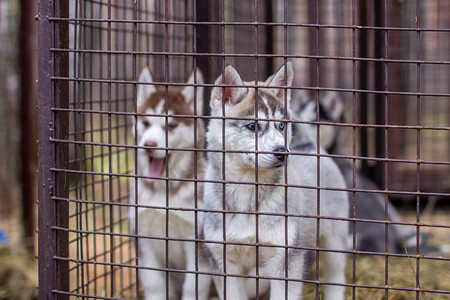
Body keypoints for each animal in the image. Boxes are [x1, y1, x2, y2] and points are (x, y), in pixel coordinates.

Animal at [127, 67, 210, 300]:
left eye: (171, 126)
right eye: (146, 123)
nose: (148, 145)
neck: (164, 191)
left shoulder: (197, 240)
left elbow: (192, 285)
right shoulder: (143, 237)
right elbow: (154, 283)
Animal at [203, 62, 348, 298]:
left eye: (281, 126)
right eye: (252, 126)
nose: (282, 152)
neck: (247, 192)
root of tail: (308, 147)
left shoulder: (286, 259)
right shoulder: (224, 263)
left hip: (334, 241)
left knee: (336, 278)